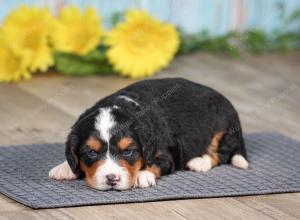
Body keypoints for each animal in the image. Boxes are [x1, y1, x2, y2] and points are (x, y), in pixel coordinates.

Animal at [48, 78, 247, 190]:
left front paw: (142, 175)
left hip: (223, 127)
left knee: (222, 153)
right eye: (91, 152)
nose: (112, 179)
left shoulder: (169, 154)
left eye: (128, 151)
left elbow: (155, 163)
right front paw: (65, 168)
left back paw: (200, 162)